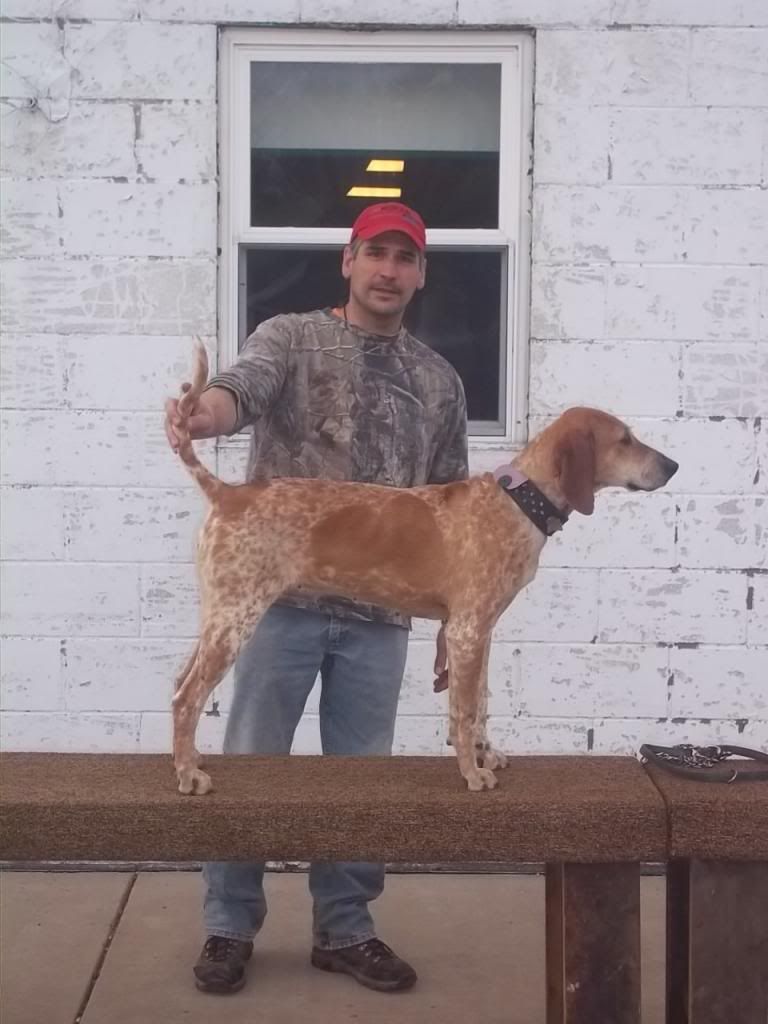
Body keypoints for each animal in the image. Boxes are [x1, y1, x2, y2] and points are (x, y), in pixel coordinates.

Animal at [171, 342, 678, 795]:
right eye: (625, 440)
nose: (673, 465)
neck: (519, 501)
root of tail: (227, 493)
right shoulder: (467, 632)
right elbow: (464, 710)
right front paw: (473, 774)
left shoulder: (477, 632)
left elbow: (481, 703)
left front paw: (485, 753)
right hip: (236, 618)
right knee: (186, 696)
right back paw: (187, 775)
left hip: (219, 617)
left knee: (180, 684)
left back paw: (190, 758)